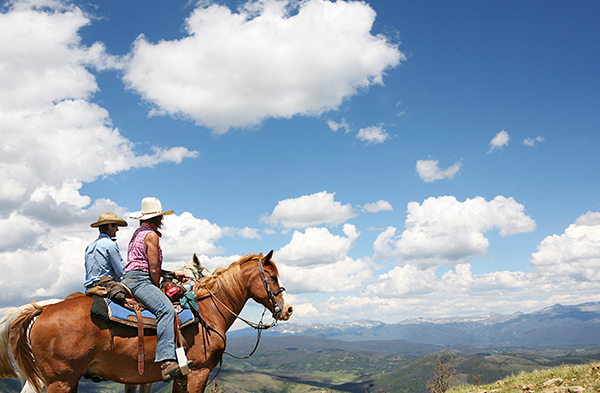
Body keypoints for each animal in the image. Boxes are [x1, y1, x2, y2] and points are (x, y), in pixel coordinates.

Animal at [0, 251, 290, 392]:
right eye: (272, 276)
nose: (287, 310)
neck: (207, 310)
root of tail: (41, 310)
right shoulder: (198, 373)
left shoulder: (178, 376)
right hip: (61, 380)